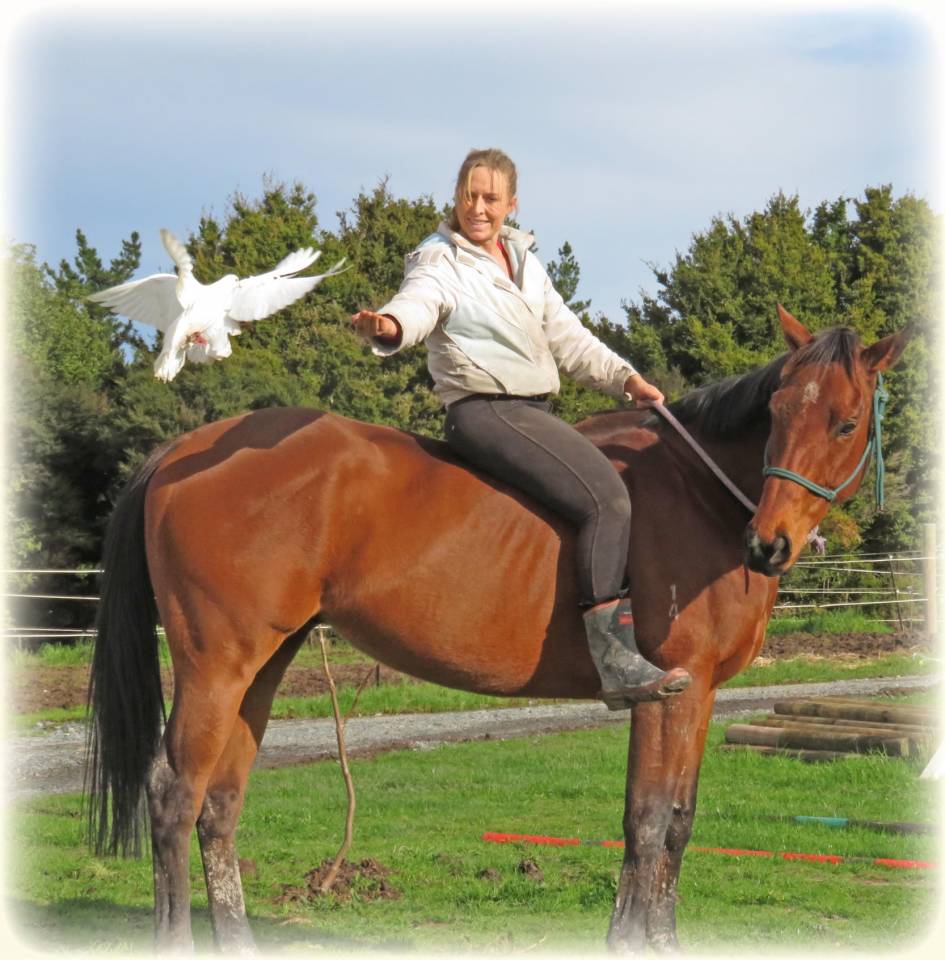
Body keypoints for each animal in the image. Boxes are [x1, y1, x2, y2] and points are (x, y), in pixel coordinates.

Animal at [86, 306, 908, 953]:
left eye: (842, 422)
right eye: (777, 414)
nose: (768, 544)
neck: (698, 495)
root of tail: (183, 450)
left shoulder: (698, 694)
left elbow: (677, 822)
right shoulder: (665, 693)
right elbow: (645, 822)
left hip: (266, 661)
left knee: (219, 804)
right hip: (216, 662)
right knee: (173, 795)